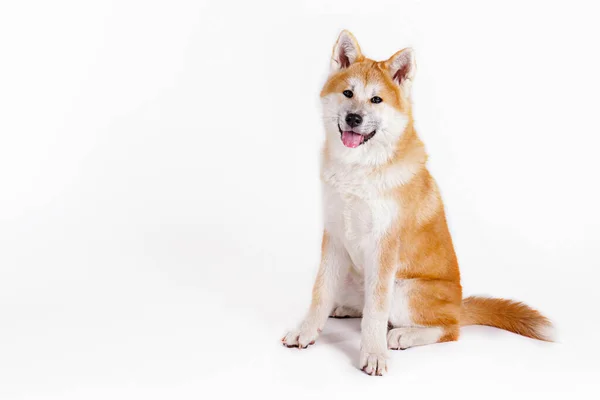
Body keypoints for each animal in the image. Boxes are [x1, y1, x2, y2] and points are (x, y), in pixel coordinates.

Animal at [282, 30, 552, 376]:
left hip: (406, 291)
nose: (354, 118)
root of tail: (459, 304)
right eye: (347, 93)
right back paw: (346, 309)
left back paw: (403, 335)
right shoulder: (334, 236)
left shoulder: (384, 245)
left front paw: (374, 353)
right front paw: (306, 331)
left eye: (376, 100)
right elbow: (320, 294)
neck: (360, 168)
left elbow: (376, 312)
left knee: (449, 329)